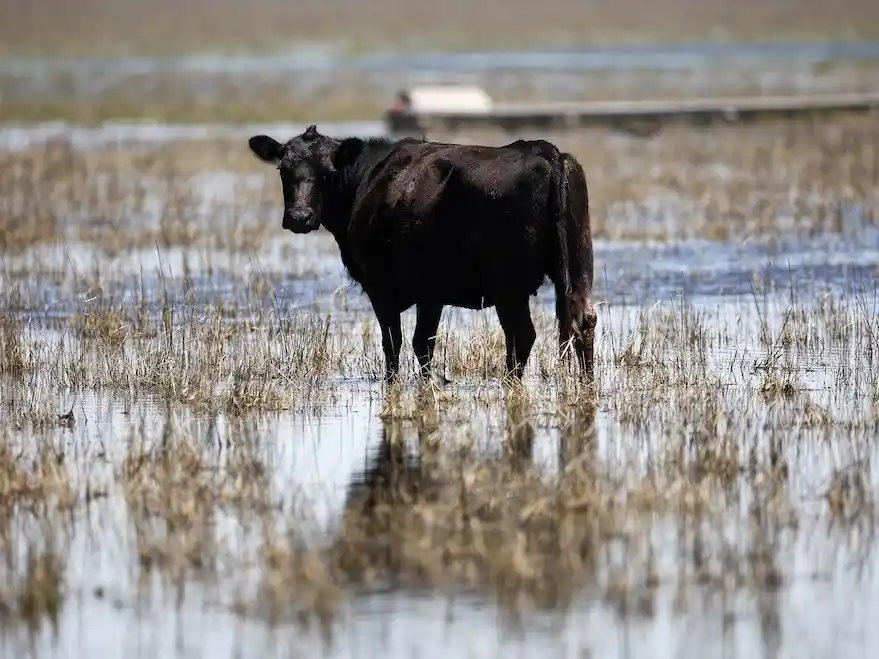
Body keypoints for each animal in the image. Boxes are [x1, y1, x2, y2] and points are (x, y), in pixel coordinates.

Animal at [247, 124, 597, 385]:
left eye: (327, 171)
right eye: (283, 169)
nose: (299, 217)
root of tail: (543, 150)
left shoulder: (379, 284)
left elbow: (394, 342)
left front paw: (393, 383)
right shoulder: (432, 290)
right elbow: (423, 342)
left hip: (509, 284)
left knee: (522, 334)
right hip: (578, 268)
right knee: (582, 322)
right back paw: (586, 384)